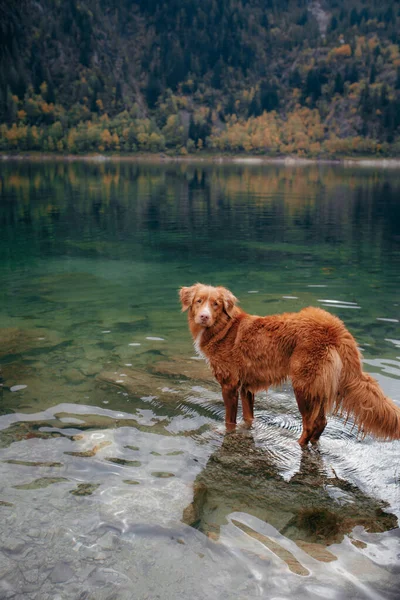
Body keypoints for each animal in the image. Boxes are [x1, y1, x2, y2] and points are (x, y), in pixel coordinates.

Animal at [180, 282, 400, 446]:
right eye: (199, 301)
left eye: (216, 304)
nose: (204, 316)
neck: (224, 328)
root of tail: (336, 328)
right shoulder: (246, 387)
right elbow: (249, 418)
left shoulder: (230, 385)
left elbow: (229, 421)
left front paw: (225, 432)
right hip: (318, 386)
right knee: (321, 422)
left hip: (303, 384)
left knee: (310, 425)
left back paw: (297, 445)